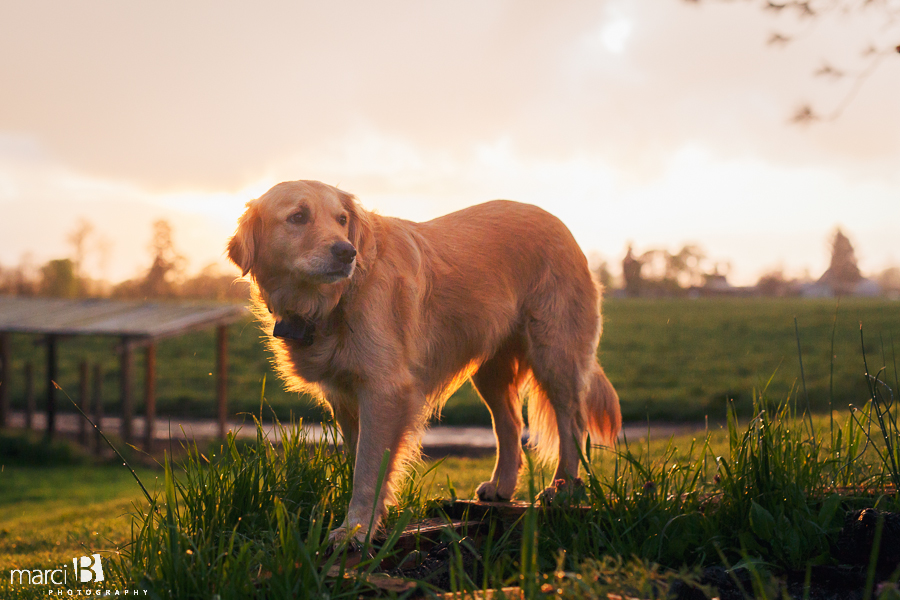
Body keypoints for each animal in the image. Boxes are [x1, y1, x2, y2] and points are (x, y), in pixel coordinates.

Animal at [227, 178, 620, 544]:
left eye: (341, 220)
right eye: (298, 217)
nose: (346, 252)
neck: (331, 302)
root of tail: (557, 222)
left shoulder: (385, 390)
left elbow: (368, 466)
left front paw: (356, 529)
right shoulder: (344, 395)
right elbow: (361, 459)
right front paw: (370, 521)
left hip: (555, 354)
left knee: (571, 422)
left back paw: (564, 487)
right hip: (490, 370)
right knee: (509, 423)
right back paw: (502, 485)